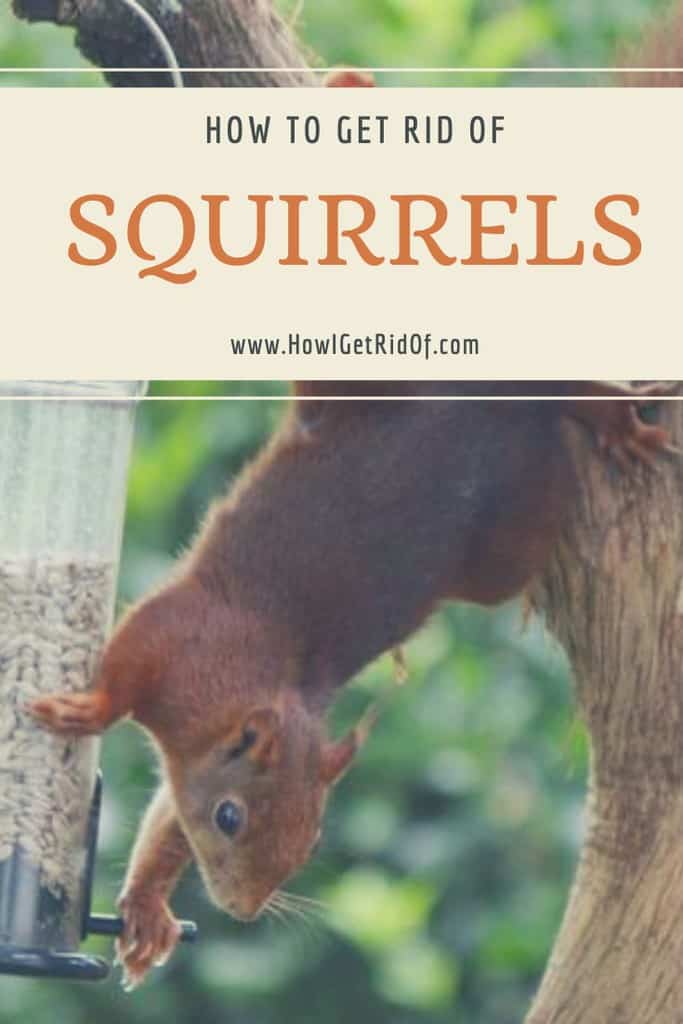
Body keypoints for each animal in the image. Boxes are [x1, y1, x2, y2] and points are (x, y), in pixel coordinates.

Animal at [28, 379, 672, 987]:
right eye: (229, 818)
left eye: (314, 839)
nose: (243, 909)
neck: (247, 689)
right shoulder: (179, 635)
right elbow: (134, 690)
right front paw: (90, 714)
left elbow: (170, 819)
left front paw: (147, 906)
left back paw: (612, 417)